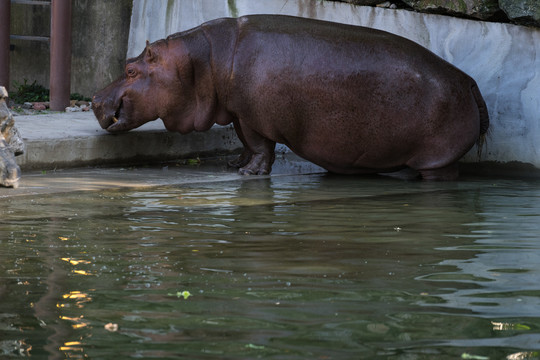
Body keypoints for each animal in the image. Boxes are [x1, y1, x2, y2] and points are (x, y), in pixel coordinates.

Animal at [93, 14, 490, 180]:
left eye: (130, 69)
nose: (95, 99)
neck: (200, 62)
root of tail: (468, 80)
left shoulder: (252, 117)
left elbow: (260, 145)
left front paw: (249, 174)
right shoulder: (238, 112)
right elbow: (245, 143)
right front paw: (234, 165)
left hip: (436, 161)